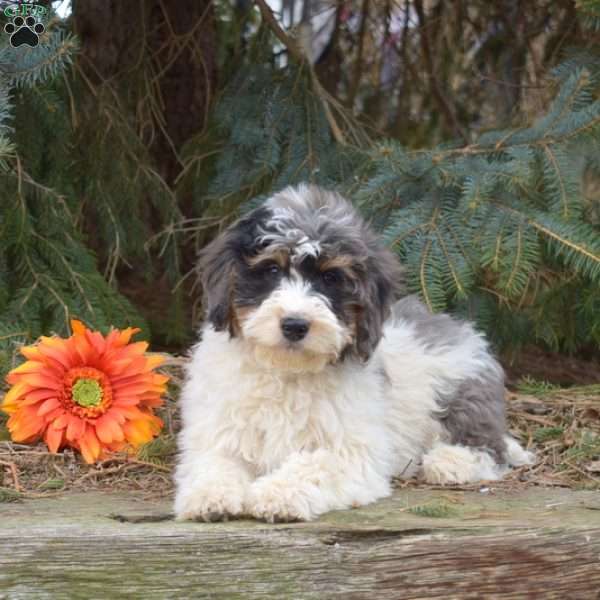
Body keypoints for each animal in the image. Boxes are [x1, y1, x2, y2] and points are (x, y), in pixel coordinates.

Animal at [175, 185, 536, 524]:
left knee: (490, 449)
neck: (289, 371)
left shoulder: (353, 451)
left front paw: (278, 494)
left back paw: (451, 462)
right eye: (272, 270)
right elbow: (215, 462)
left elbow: (315, 463)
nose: (295, 324)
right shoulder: (218, 434)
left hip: (462, 394)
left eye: (330, 277)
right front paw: (210, 496)